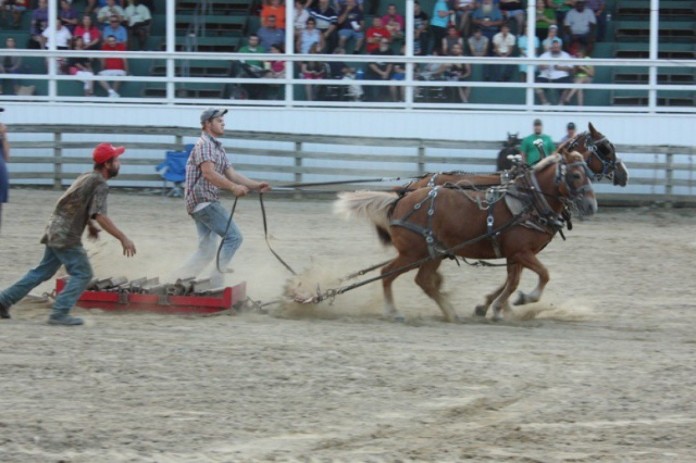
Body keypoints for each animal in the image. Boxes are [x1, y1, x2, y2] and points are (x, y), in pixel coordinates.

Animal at [334, 152, 597, 323]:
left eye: (589, 173)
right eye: (575, 175)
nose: (592, 206)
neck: (529, 200)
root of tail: (400, 200)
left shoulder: (515, 254)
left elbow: (512, 282)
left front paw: (498, 308)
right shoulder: (521, 252)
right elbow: (542, 275)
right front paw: (522, 299)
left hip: (432, 253)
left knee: (423, 280)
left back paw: (449, 311)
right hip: (414, 253)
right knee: (387, 273)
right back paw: (393, 311)